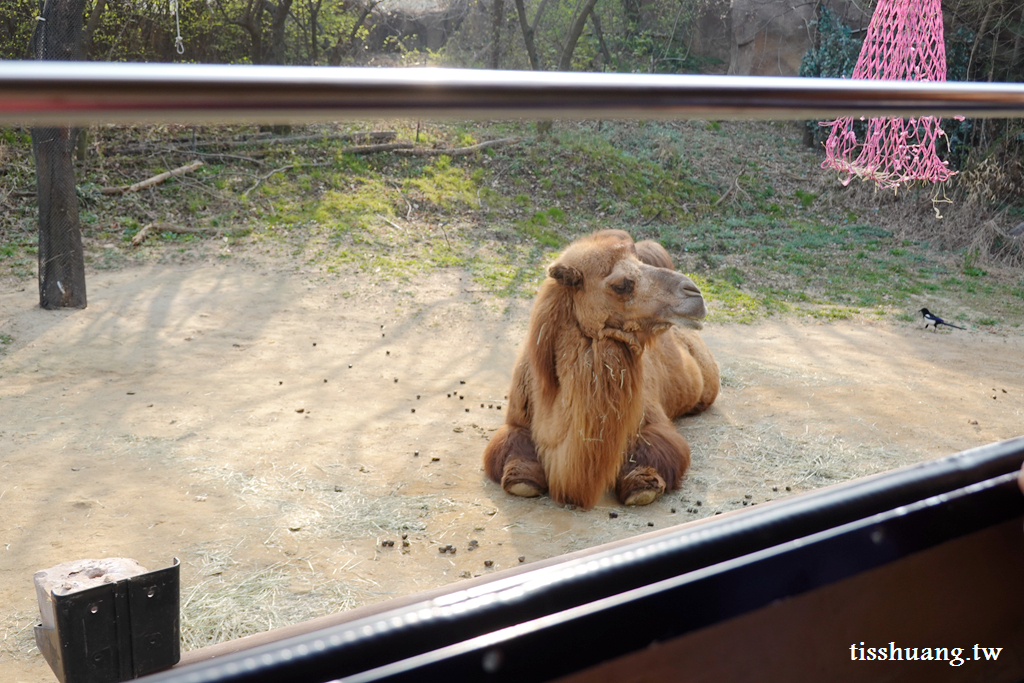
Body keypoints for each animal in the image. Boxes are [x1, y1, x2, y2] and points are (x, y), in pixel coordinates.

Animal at [485, 229, 720, 507]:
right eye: (621, 284)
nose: (695, 294)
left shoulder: (650, 418)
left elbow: (657, 448)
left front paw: (642, 485)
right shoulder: (517, 421)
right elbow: (515, 460)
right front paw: (522, 478)